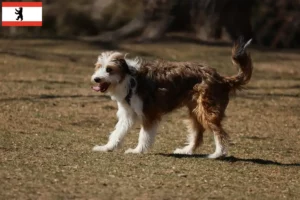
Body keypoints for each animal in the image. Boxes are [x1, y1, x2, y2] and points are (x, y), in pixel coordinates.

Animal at [90, 37, 252, 159]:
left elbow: (144, 135)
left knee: (219, 132)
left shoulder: (149, 113)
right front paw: (107, 147)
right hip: (195, 111)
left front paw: (138, 150)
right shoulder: (128, 114)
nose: (96, 79)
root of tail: (221, 78)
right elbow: (117, 132)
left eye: (109, 69)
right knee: (198, 134)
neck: (129, 78)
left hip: (207, 111)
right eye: (98, 67)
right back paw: (186, 151)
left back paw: (218, 154)